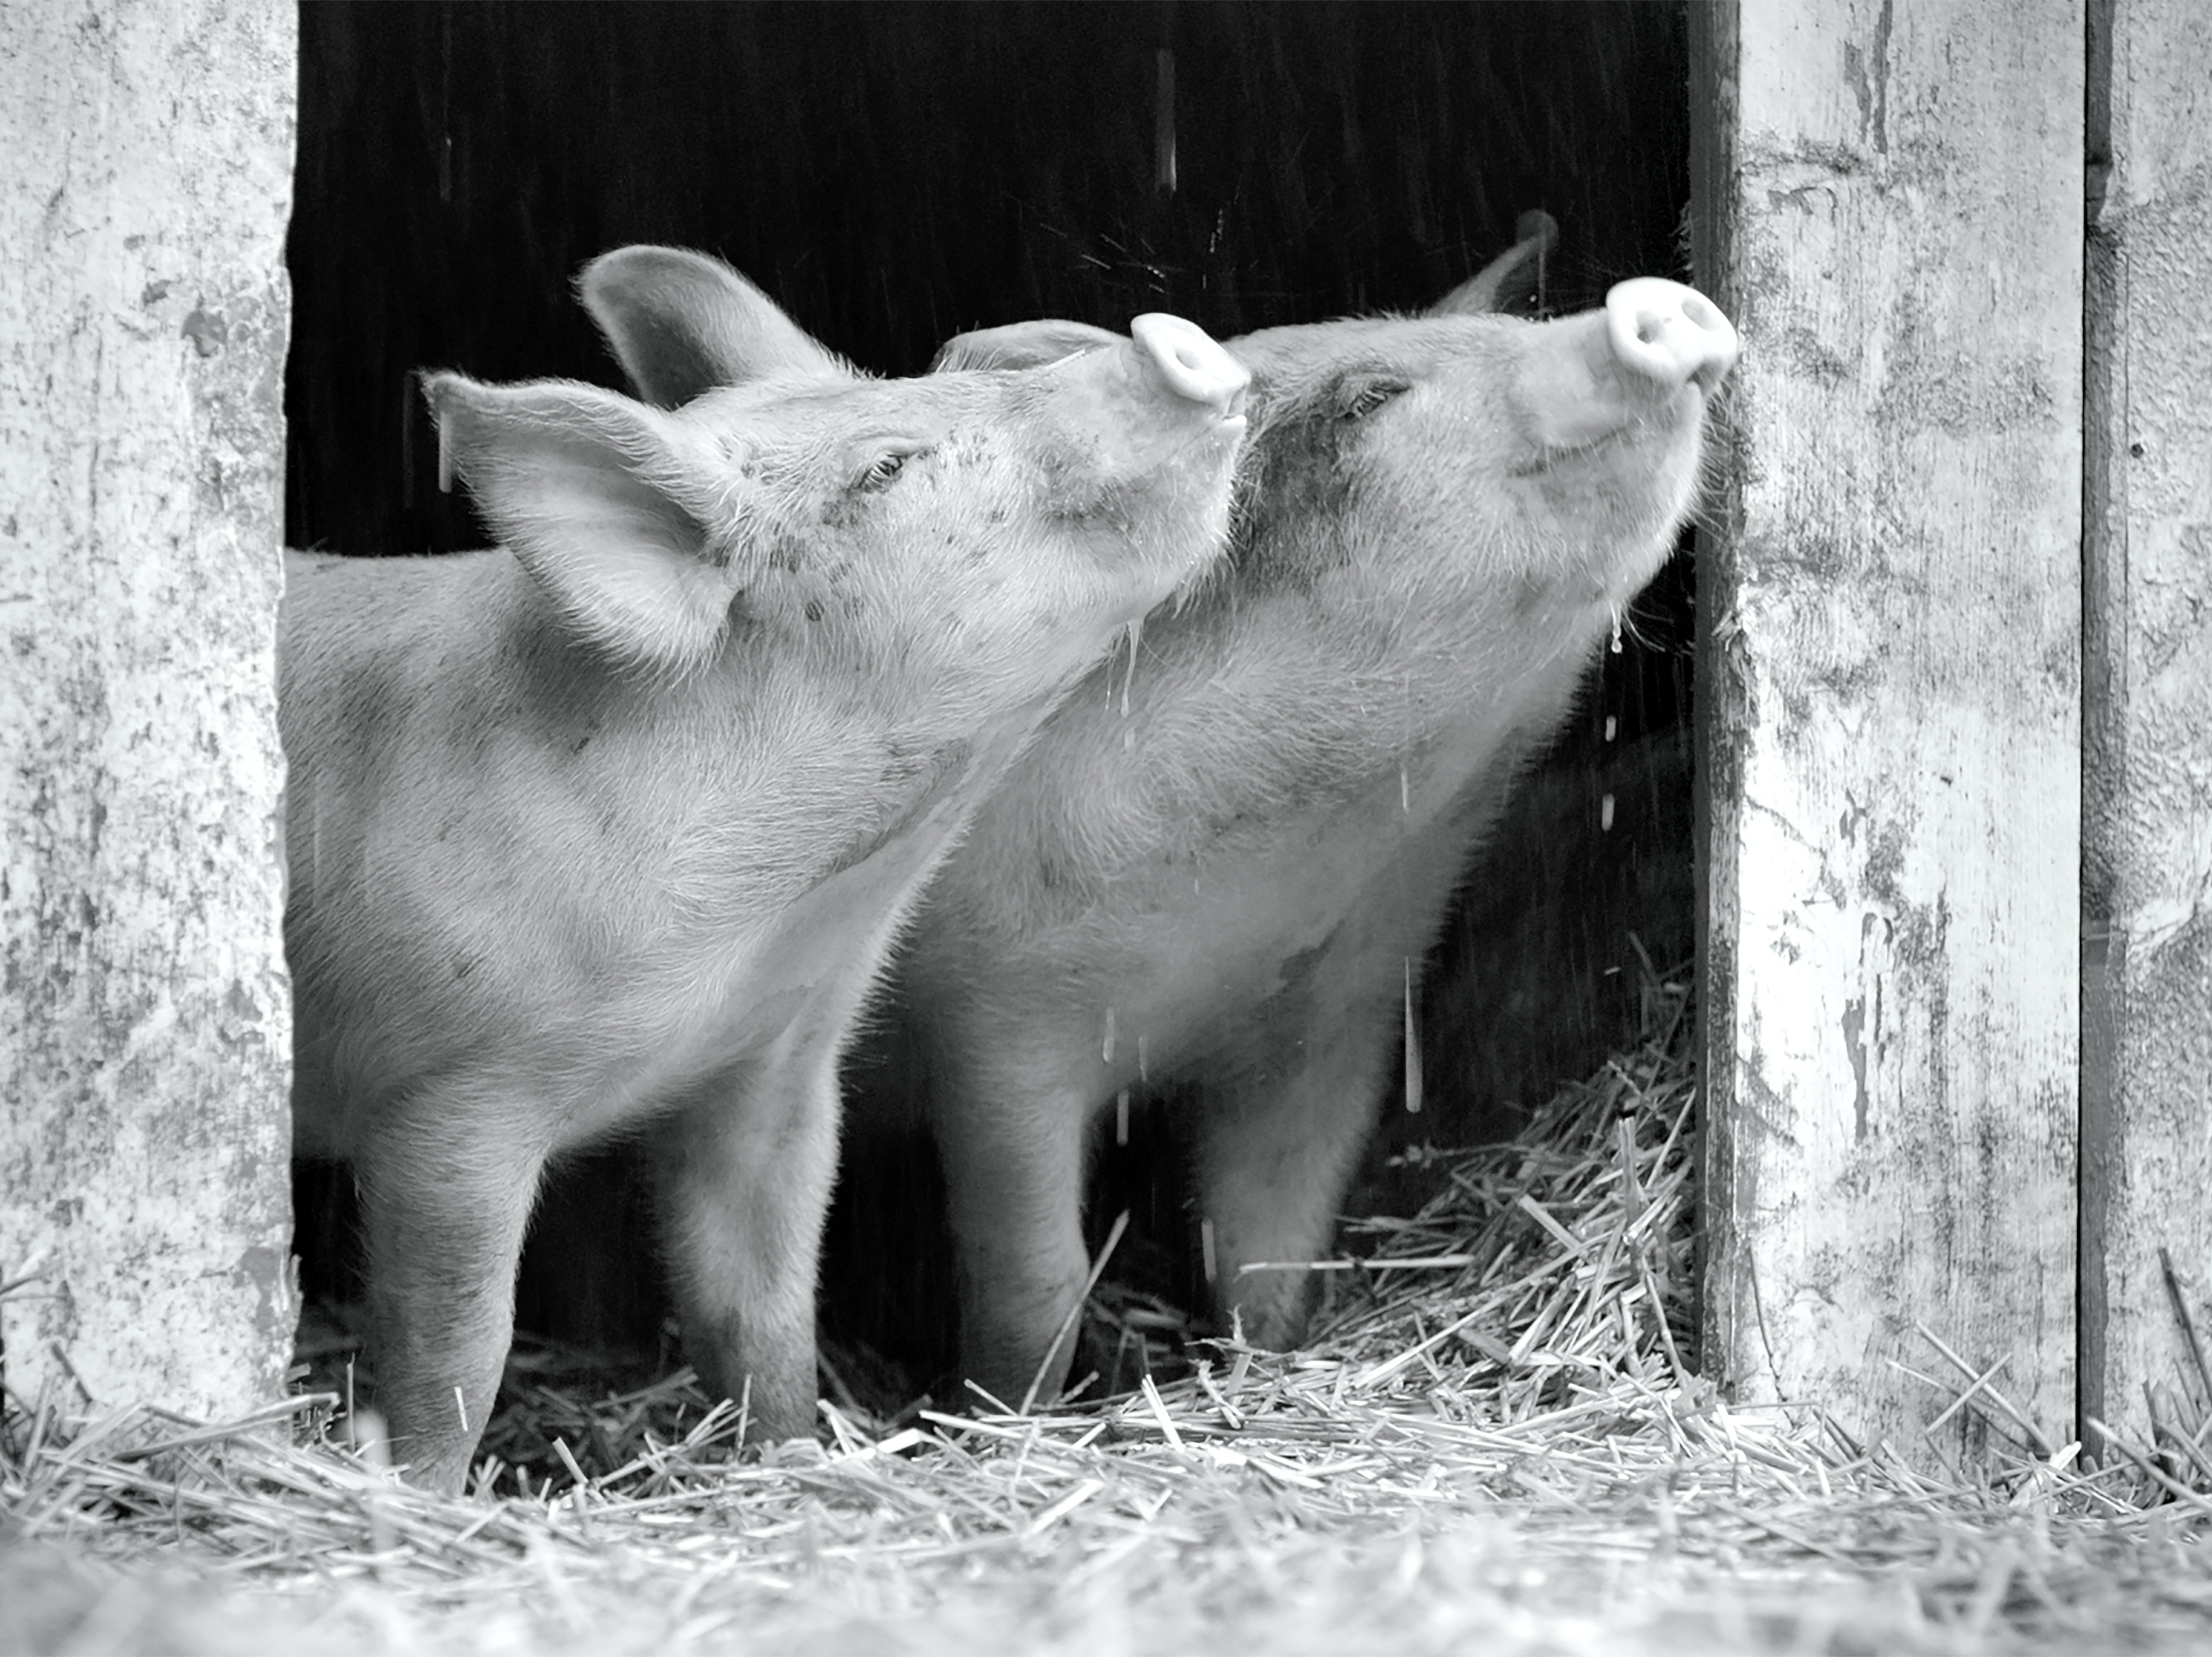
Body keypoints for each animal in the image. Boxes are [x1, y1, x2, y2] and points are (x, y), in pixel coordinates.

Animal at [281, 249, 1247, 1486]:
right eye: (887, 466)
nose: (1168, 336)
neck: (758, 924)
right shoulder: (447, 1098)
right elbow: (453, 1347)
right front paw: (422, 1492)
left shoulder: (772, 1067)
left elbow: (761, 1306)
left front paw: (793, 1460)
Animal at [849, 223, 1743, 1407]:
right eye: (1370, 397)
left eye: (1511, 330)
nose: (1659, 305)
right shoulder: (992, 1028)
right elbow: (1033, 1281)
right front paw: (1009, 1406)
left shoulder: (1330, 1016)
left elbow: (1274, 1236)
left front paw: (1260, 1361)